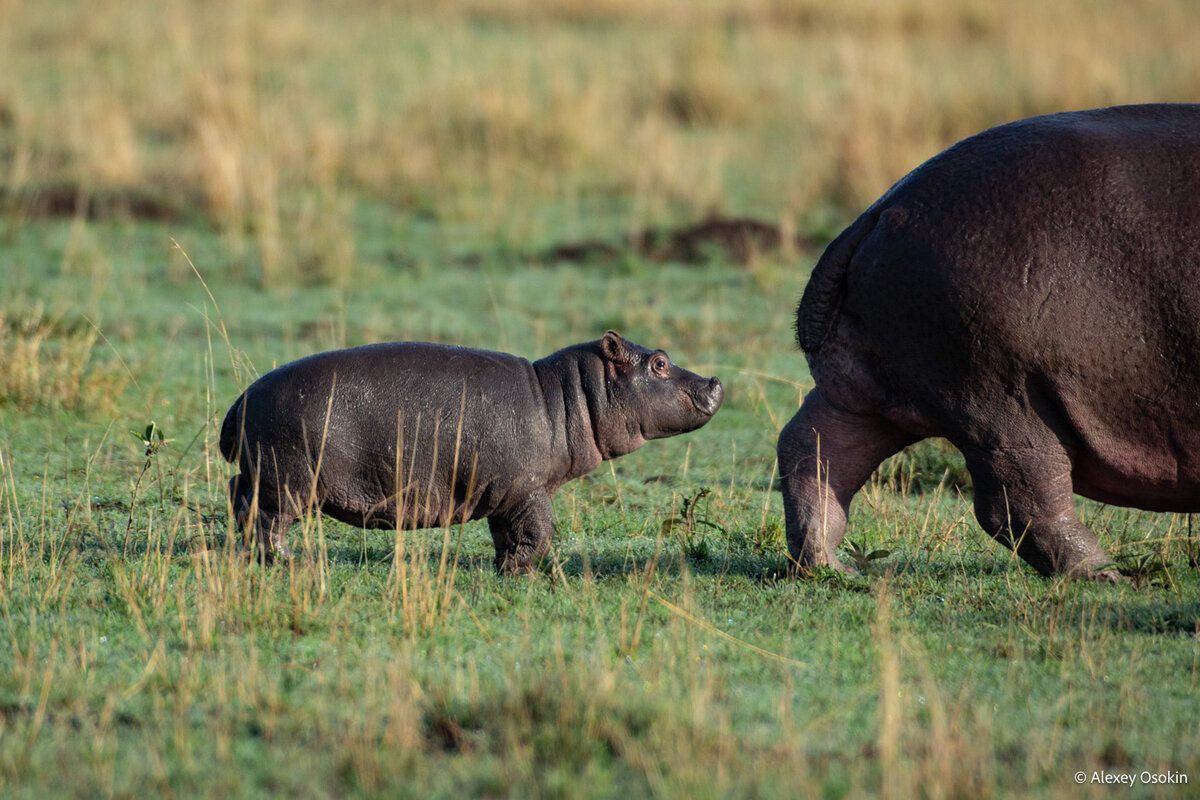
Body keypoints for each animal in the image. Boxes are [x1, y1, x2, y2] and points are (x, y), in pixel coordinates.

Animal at [218, 328, 720, 573]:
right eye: (659, 363)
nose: (714, 381)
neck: (565, 397)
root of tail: (242, 397)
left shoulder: (504, 494)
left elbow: (507, 533)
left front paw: (505, 566)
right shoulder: (528, 488)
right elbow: (541, 531)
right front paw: (519, 570)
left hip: (259, 472)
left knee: (238, 498)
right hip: (285, 480)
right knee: (265, 519)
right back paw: (287, 563)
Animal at [777, 104, 1200, 582]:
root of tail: (883, 209)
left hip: (866, 391)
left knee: (812, 448)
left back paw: (832, 567)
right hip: (1005, 401)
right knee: (1020, 501)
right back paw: (1106, 574)